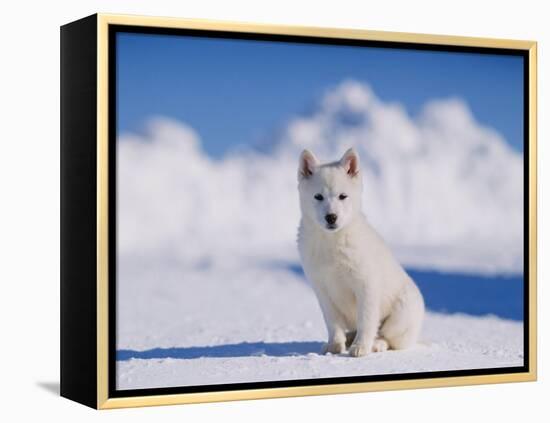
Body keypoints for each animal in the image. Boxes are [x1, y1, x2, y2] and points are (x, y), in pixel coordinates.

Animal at [300, 149, 424, 358]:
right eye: (318, 196)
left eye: (343, 196)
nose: (331, 217)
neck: (333, 241)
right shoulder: (322, 290)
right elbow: (332, 323)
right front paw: (335, 345)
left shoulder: (366, 286)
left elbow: (366, 320)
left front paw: (361, 347)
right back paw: (350, 338)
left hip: (400, 314)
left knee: (388, 337)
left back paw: (376, 344)